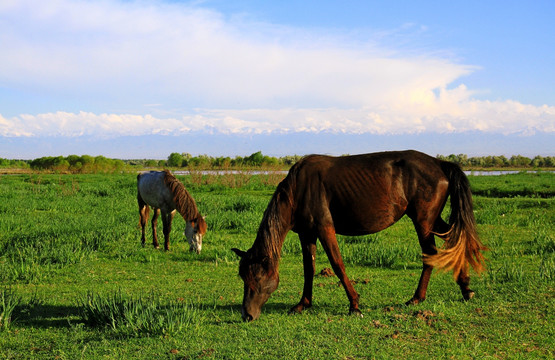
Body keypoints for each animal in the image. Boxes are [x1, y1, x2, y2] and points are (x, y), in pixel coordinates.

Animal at [233, 149, 486, 320]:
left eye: (256, 277)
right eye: (242, 277)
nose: (247, 315)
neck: (298, 188)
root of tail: (439, 163)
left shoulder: (325, 229)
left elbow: (337, 264)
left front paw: (354, 305)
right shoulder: (307, 234)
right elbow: (309, 268)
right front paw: (303, 304)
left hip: (424, 221)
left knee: (431, 253)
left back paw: (418, 297)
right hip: (432, 221)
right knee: (455, 241)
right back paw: (465, 288)